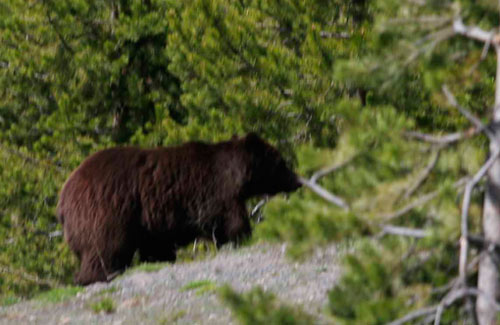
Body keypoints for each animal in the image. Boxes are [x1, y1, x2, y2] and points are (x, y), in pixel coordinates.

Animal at [58, 132, 300, 284]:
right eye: (281, 162)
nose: (297, 180)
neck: (234, 174)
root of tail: (63, 195)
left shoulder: (154, 218)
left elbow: (157, 245)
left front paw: (159, 259)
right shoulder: (212, 193)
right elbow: (227, 222)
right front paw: (241, 237)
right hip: (106, 210)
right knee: (106, 247)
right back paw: (98, 275)